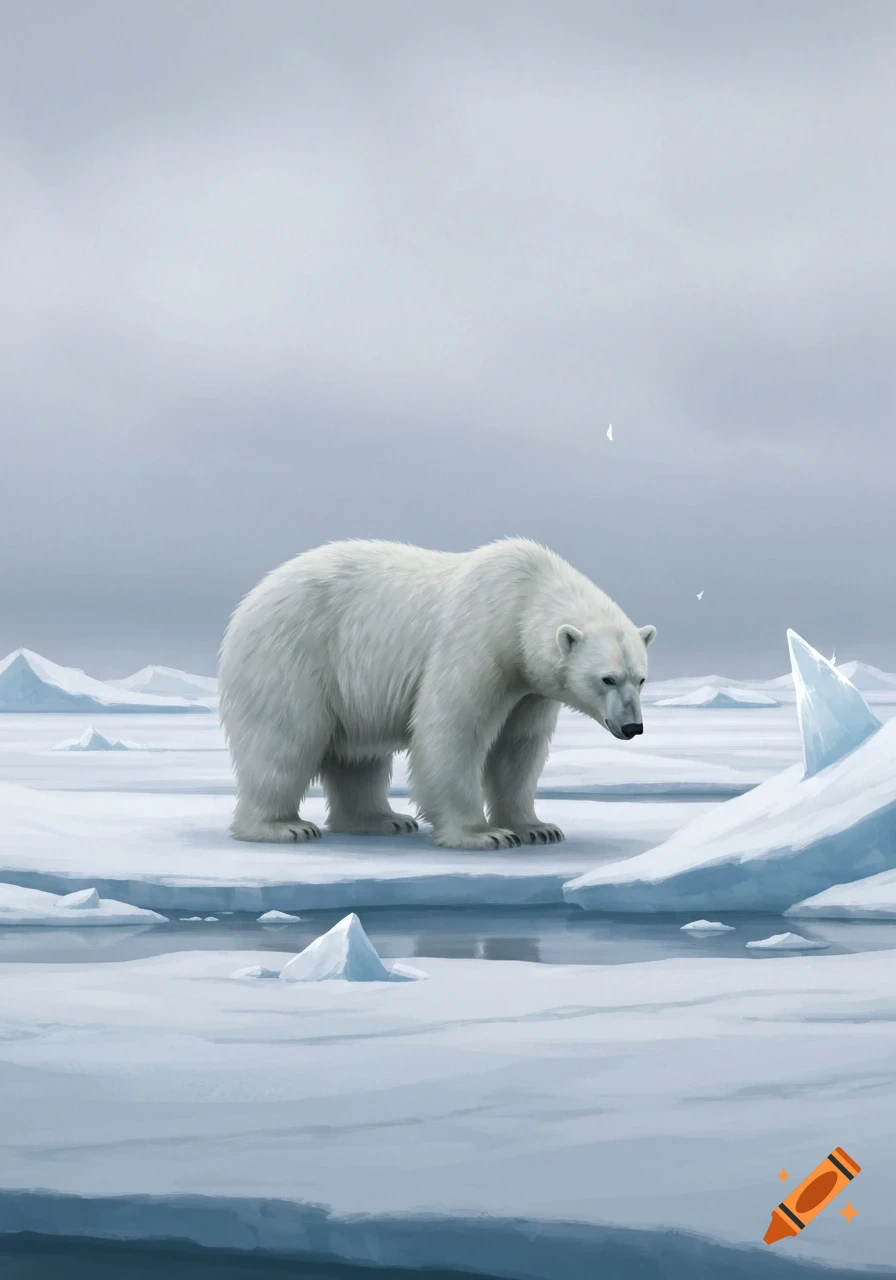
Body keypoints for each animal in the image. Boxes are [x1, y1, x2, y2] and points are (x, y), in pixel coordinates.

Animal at [218, 538, 656, 851]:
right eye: (607, 679)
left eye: (640, 679)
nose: (633, 727)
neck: (524, 596)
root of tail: (251, 599)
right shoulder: (477, 641)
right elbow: (453, 730)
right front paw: (482, 834)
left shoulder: (529, 688)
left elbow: (518, 747)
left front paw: (535, 828)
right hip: (294, 655)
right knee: (283, 740)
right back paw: (282, 826)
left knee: (358, 757)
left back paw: (381, 820)